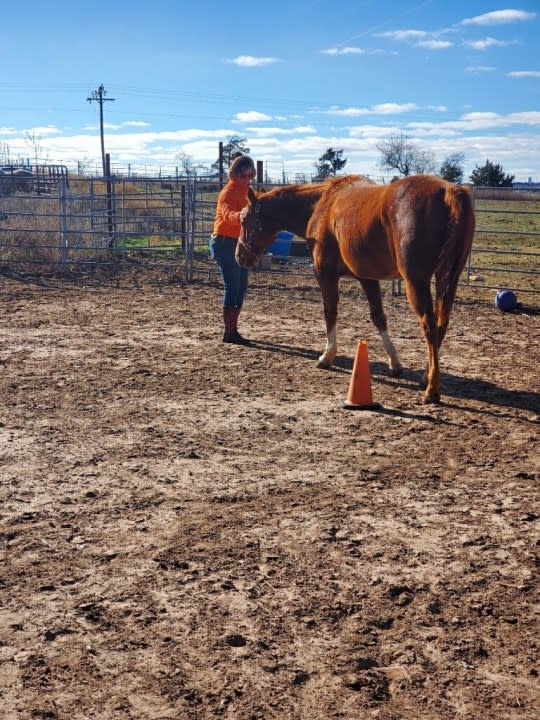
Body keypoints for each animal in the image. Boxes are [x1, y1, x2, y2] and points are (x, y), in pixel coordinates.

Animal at [238, 172, 474, 402]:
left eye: (243, 219)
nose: (239, 256)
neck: (322, 204)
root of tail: (449, 191)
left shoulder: (325, 273)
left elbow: (330, 312)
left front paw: (327, 356)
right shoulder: (367, 277)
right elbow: (378, 316)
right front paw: (395, 363)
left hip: (416, 281)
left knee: (429, 326)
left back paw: (431, 390)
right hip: (448, 279)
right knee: (441, 325)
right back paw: (426, 376)